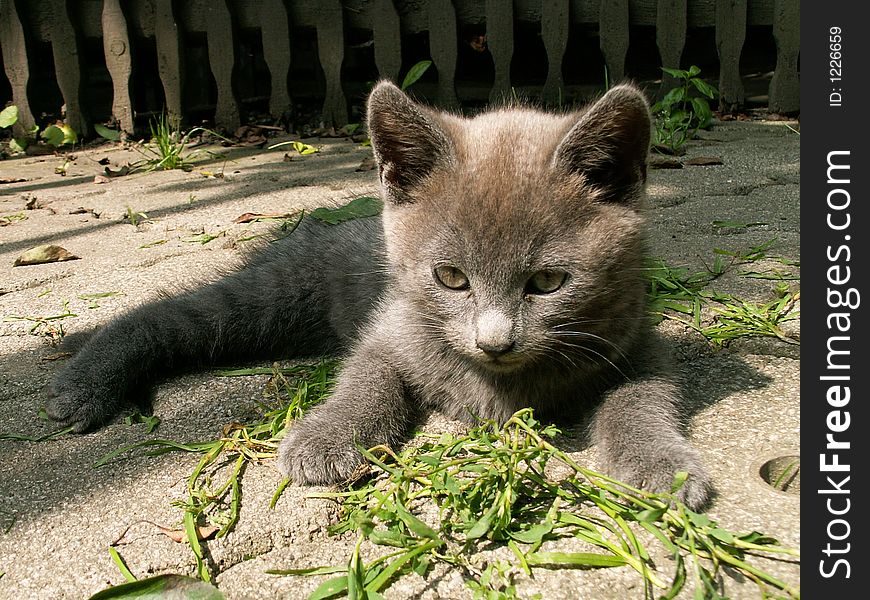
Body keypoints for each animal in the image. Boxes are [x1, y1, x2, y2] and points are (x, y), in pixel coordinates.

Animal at [47, 81, 712, 506]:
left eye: (548, 283)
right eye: (451, 279)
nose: (495, 341)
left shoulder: (638, 341)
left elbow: (640, 399)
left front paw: (663, 467)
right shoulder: (391, 325)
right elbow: (366, 374)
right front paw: (327, 437)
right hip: (276, 295)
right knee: (169, 312)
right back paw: (83, 385)